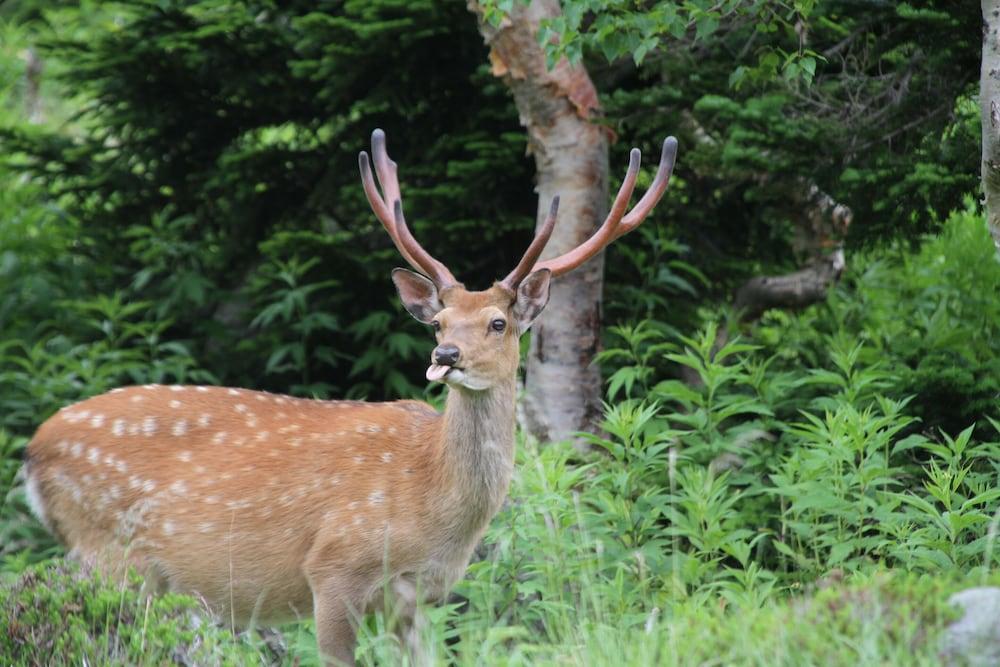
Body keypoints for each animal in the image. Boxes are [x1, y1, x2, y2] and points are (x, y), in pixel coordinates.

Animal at [23, 128, 680, 664]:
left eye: (498, 323)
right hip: (108, 554)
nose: (446, 356)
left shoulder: (417, 597)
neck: (434, 503)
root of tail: (32, 453)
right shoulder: (333, 568)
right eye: (439, 323)